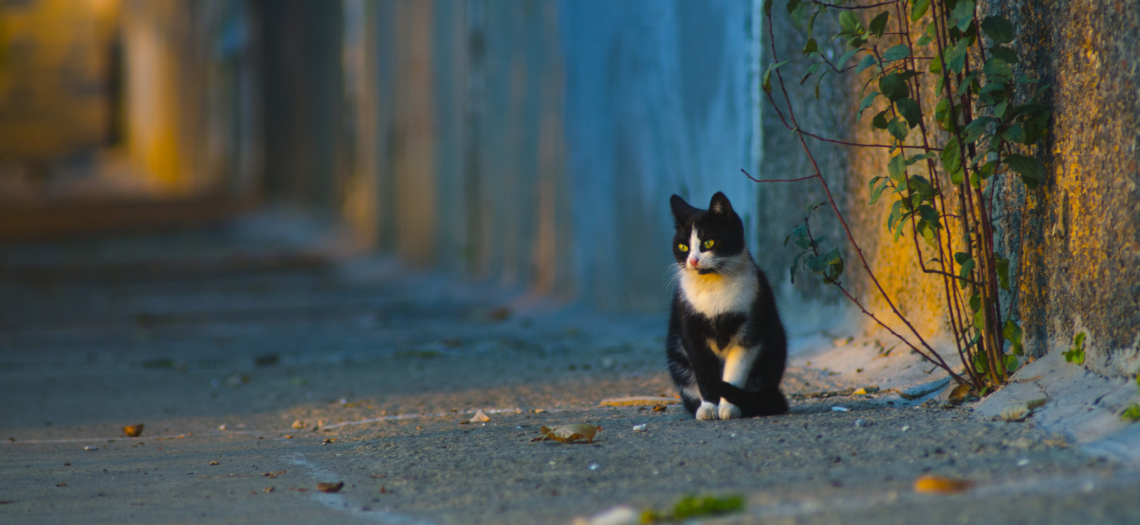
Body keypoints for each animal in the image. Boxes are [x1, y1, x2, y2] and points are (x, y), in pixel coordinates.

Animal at [665, 190, 788, 419]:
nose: (693, 261)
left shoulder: (749, 334)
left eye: (708, 243)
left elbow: (734, 373)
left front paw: (729, 407)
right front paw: (708, 407)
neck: (713, 288)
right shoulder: (691, 334)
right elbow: (703, 373)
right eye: (683, 247)